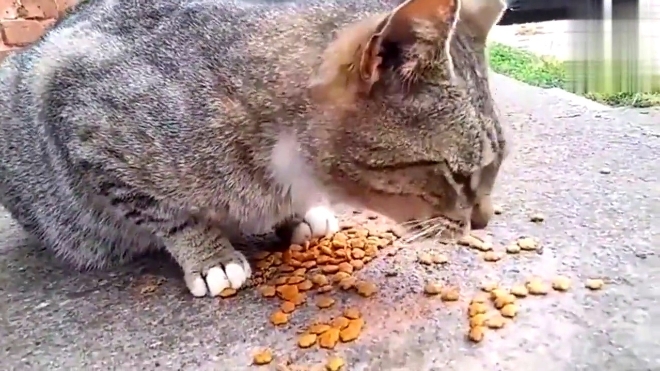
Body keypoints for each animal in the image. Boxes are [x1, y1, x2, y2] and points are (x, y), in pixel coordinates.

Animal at [0, 0, 510, 298]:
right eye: (457, 174)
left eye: (498, 164)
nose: (485, 221)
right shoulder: (83, 119)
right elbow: (167, 213)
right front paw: (211, 255)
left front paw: (299, 214)